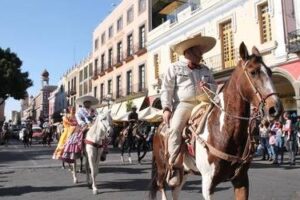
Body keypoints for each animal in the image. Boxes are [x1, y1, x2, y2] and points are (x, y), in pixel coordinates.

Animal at [150, 41, 284, 199]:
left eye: (269, 72)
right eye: (253, 72)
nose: (275, 108)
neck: (224, 131)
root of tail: (159, 128)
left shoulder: (241, 180)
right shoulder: (208, 184)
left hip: (183, 172)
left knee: (175, 190)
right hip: (163, 168)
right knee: (162, 186)